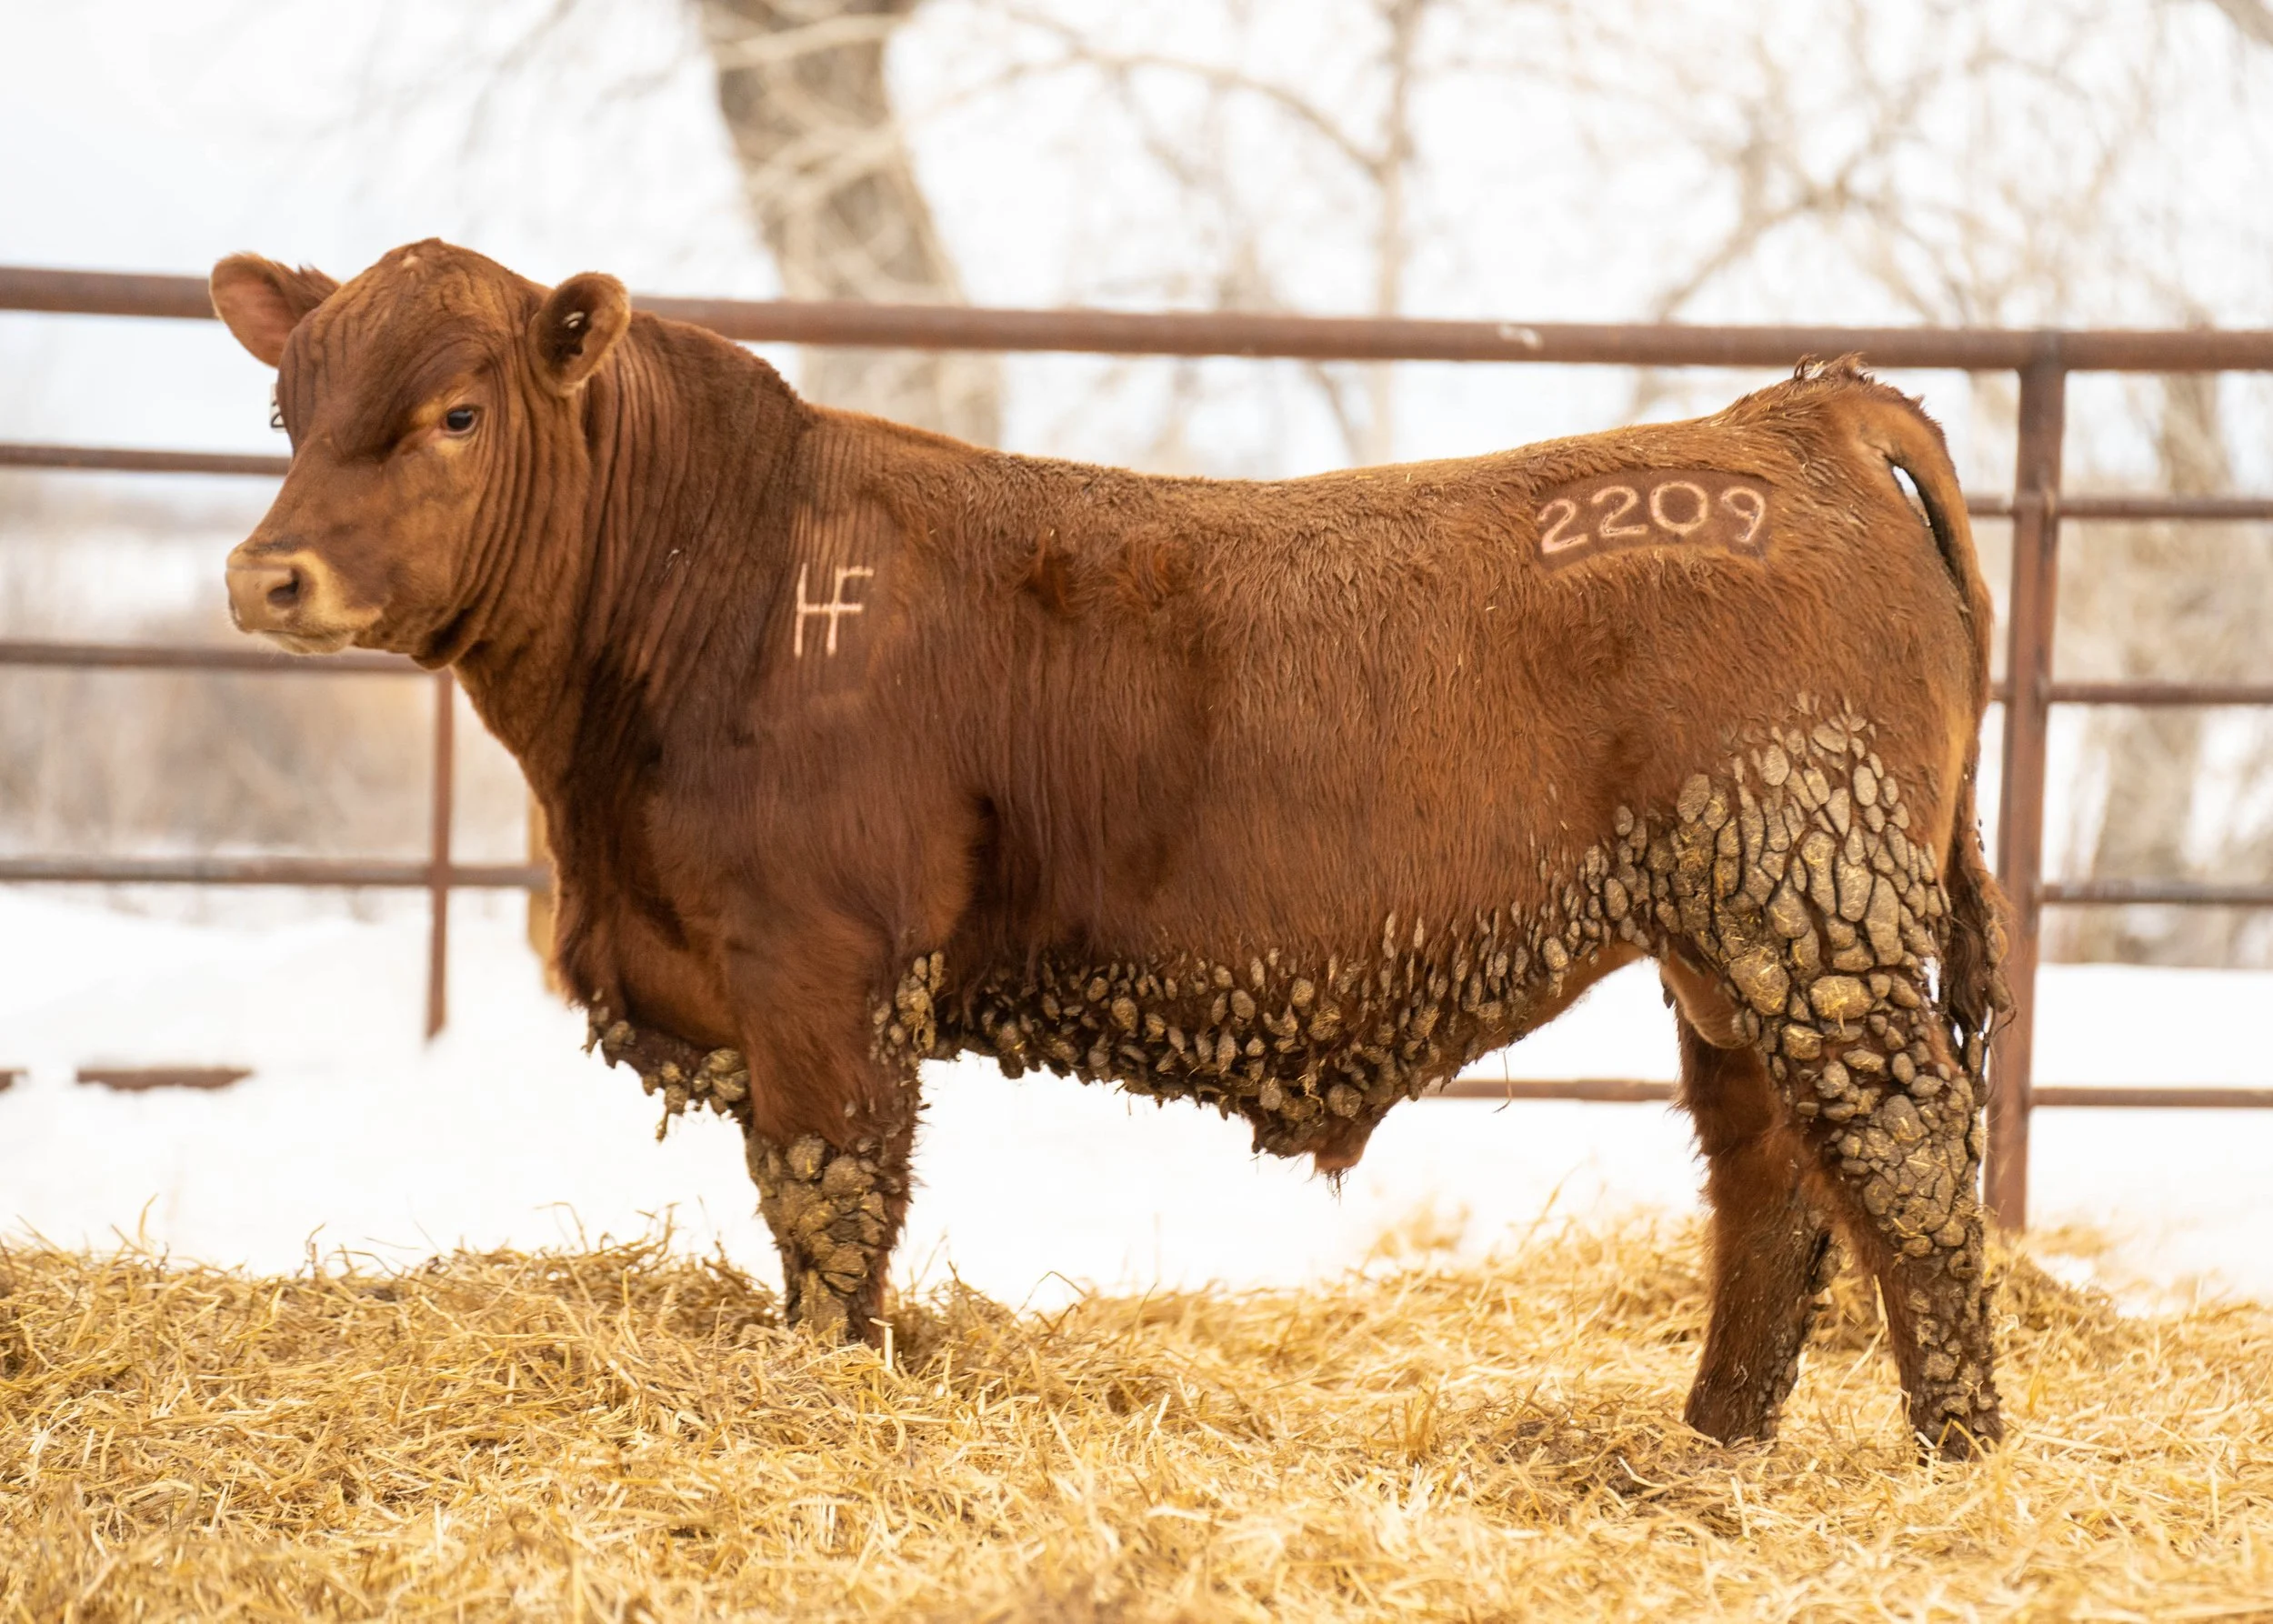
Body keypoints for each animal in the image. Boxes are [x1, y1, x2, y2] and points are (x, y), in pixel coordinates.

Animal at [211, 240, 2010, 1458]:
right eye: (289, 406)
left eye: (456, 410)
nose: (266, 574)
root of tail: (1788, 418)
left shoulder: (825, 968)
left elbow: (830, 1201)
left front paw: (832, 1388)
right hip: (1729, 939)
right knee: (1771, 1167)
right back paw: (1716, 1438)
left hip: (1812, 905)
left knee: (1909, 1156)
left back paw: (1953, 1451)